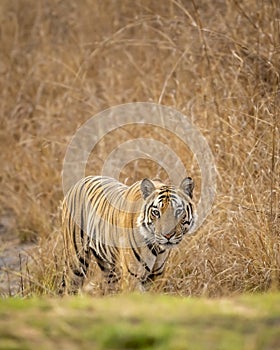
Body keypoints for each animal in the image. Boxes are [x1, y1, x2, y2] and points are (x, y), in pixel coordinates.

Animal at [61, 175, 196, 292]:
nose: (168, 235)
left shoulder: (156, 276)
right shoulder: (132, 276)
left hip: (109, 267)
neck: (157, 248)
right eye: (156, 212)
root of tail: (79, 182)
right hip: (76, 262)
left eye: (178, 211)